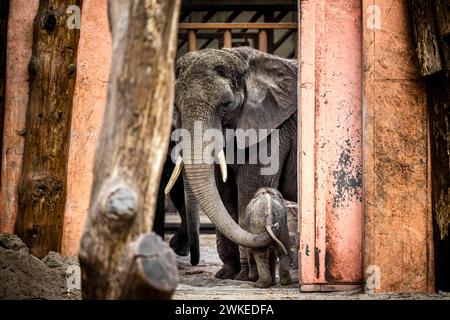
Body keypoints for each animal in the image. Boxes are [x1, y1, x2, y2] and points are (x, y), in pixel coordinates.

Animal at [167, 47, 298, 280]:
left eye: (226, 104)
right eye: (175, 106)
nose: (191, 259)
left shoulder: (273, 129)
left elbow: (249, 190)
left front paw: (246, 276)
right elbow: (223, 191)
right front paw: (227, 274)